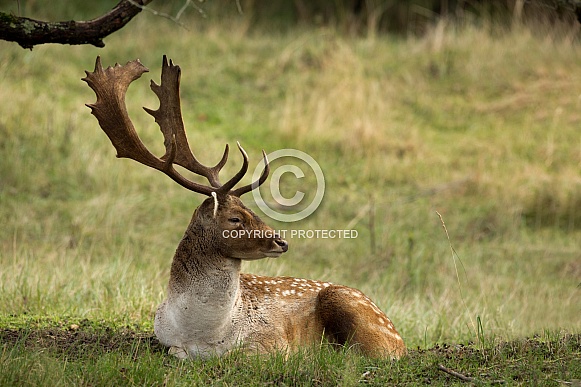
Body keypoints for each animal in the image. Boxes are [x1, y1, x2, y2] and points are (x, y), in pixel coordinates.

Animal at [84, 55, 406, 360]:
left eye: (252, 210)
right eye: (235, 218)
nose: (281, 241)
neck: (202, 334)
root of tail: (401, 340)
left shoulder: (273, 341)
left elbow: (238, 357)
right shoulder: (164, 337)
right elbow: (179, 353)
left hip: (351, 306)